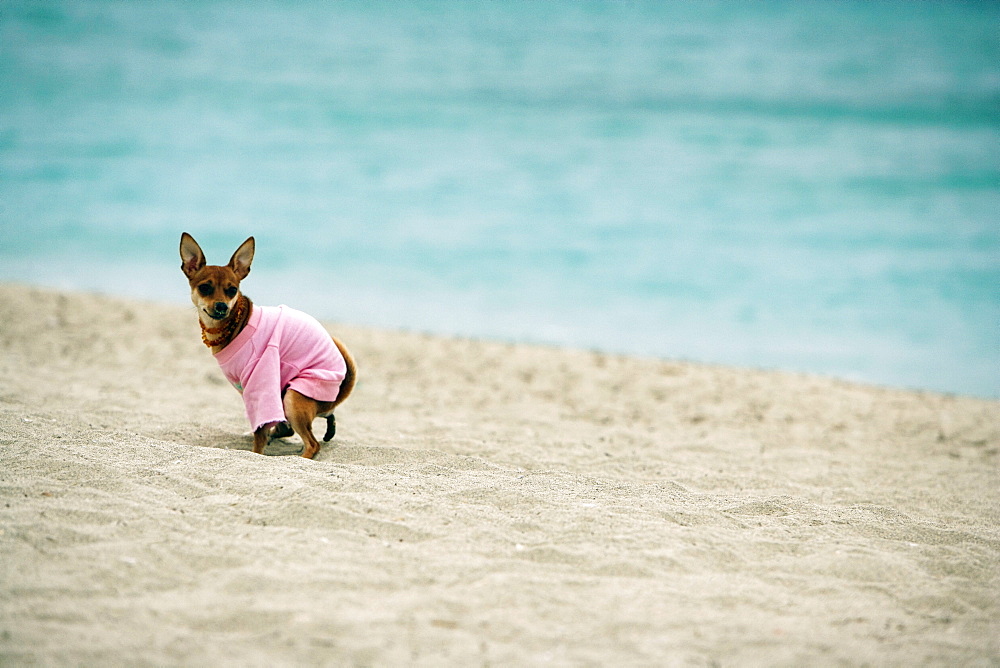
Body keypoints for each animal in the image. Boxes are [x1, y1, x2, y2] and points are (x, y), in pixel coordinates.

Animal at [182, 232, 358, 456]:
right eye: (205, 287)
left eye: (232, 290)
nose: (222, 306)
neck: (236, 324)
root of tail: (336, 396)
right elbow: (265, 426)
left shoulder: (260, 383)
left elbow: (260, 429)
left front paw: (256, 453)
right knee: (298, 426)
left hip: (293, 397)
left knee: (312, 443)